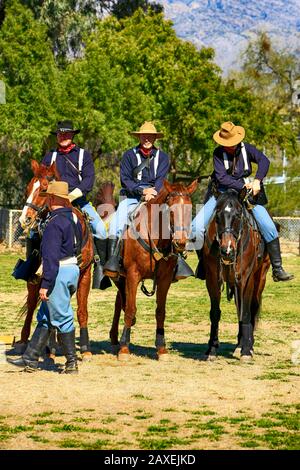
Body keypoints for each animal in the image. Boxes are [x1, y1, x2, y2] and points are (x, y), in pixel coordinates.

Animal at [15, 160, 94, 358]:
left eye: (44, 189)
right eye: (28, 188)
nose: (24, 219)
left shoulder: (85, 274)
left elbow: (81, 310)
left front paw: (85, 348)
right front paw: (51, 347)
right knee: (32, 305)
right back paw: (25, 341)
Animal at [109, 179, 198, 360]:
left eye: (190, 208)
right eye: (170, 209)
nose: (180, 242)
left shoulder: (164, 279)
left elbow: (160, 311)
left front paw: (161, 348)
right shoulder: (133, 275)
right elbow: (130, 309)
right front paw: (124, 348)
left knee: (119, 301)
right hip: (119, 277)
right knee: (122, 302)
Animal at [203, 189, 270, 362]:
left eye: (238, 215)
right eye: (217, 215)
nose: (227, 250)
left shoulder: (247, 279)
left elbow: (246, 312)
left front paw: (246, 350)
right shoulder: (213, 279)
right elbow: (215, 313)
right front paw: (212, 349)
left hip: (260, 279)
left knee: (250, 308)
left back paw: (246, 345)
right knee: (239, 307)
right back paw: (239, 344)